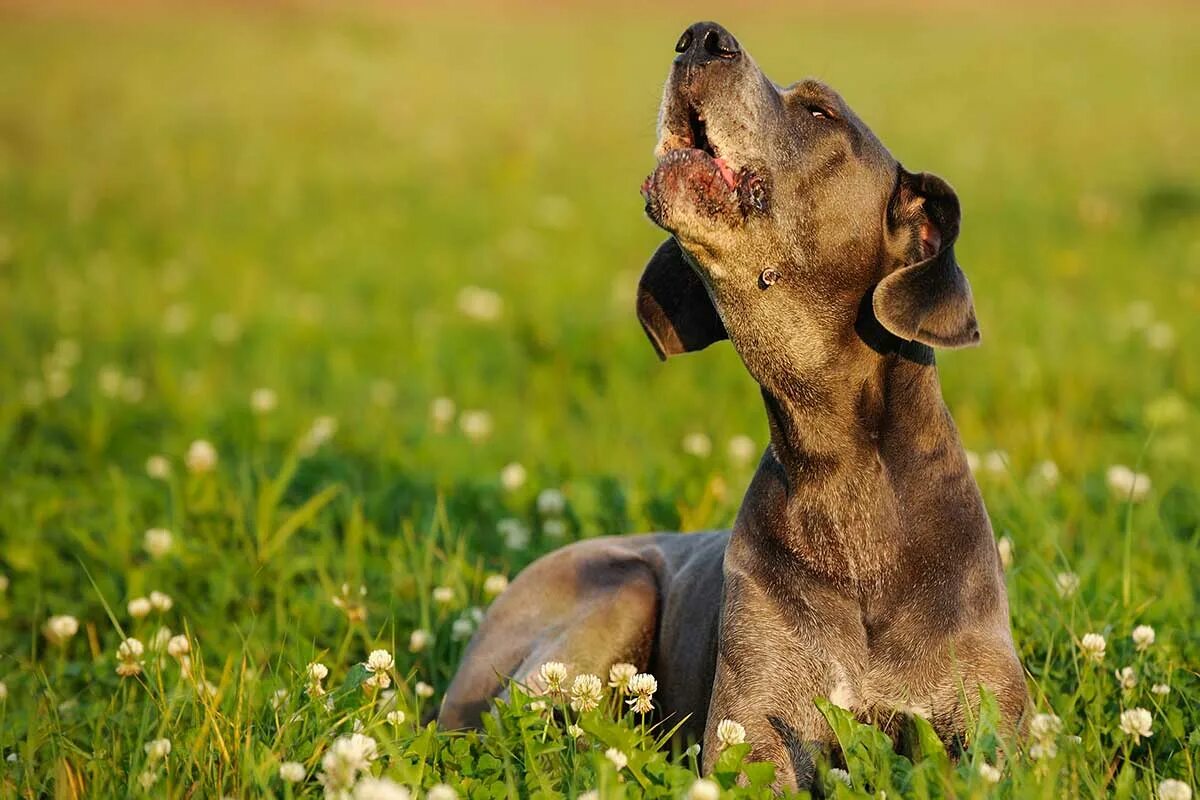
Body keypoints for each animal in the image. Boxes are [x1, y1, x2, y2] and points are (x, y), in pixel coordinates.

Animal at [436, 21, 1027, 791]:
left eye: (820, 112)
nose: (700, 37)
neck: (840, 471)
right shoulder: (753, 735)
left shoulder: (994, 733)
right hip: (616, 593)